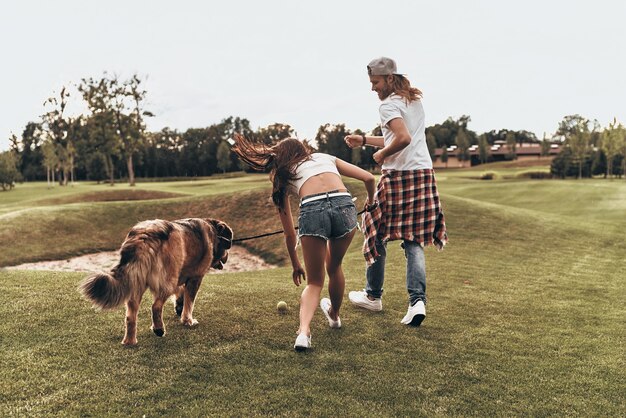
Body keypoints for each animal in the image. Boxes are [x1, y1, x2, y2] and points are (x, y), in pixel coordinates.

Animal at [79, 217, 233, 344]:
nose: (226, 257)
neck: (213, 232)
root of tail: (145, 234)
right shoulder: (195, 277)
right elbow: (190, 302)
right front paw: (188, 320)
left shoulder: (180, 275)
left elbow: (181, 292)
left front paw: (179, 306)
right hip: (167, 280)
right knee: (156, 306)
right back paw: (159, 329)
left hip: (137, 282)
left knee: (130, 316)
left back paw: (130, 341)